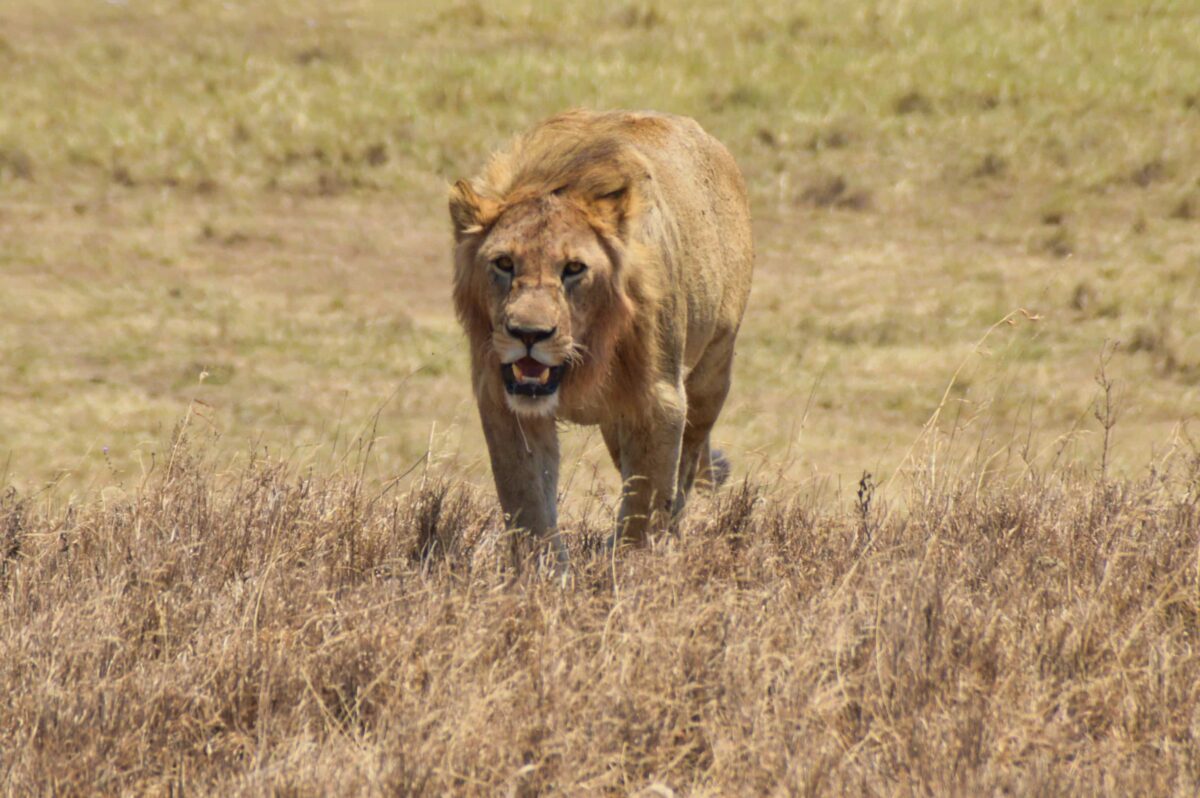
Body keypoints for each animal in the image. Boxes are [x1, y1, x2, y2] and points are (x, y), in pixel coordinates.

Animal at [449, 110, 753, 567]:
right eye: (503, 263)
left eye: (574, 268)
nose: (528, 334)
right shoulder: (506, 401)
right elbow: (526, 500)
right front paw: (542, 573)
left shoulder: (658, 401)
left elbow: (645, 504)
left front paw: (628, 568)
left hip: (709, 376)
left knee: (684, 468)